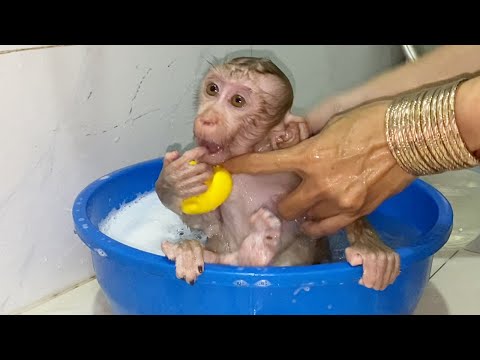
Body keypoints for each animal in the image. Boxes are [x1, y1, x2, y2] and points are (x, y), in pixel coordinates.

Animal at [156, 57, 400, 292]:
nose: (207, 118)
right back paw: (195, 251)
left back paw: (254, 250)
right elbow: (207, 224)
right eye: (212, 89)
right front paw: (174, 183)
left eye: (237, 101)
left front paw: (368, 247)